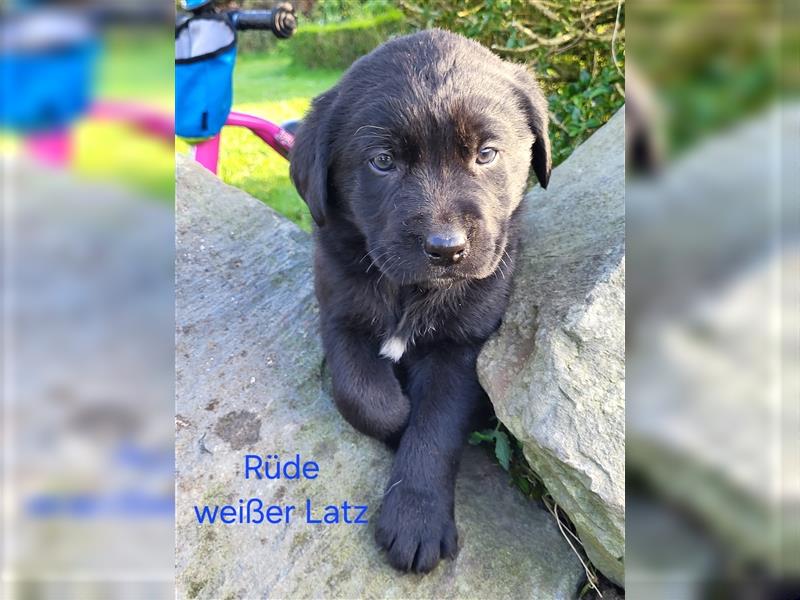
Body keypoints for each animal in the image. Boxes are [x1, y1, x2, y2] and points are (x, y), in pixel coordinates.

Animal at [290, 30, 552, 576]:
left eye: (486, 154)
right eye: (383, 161)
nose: (446, 248)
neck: (407, 291)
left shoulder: (462, 346)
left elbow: (435, 427)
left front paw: (415, 518)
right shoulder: (338, 314)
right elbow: (366, 398)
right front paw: (395, 420)